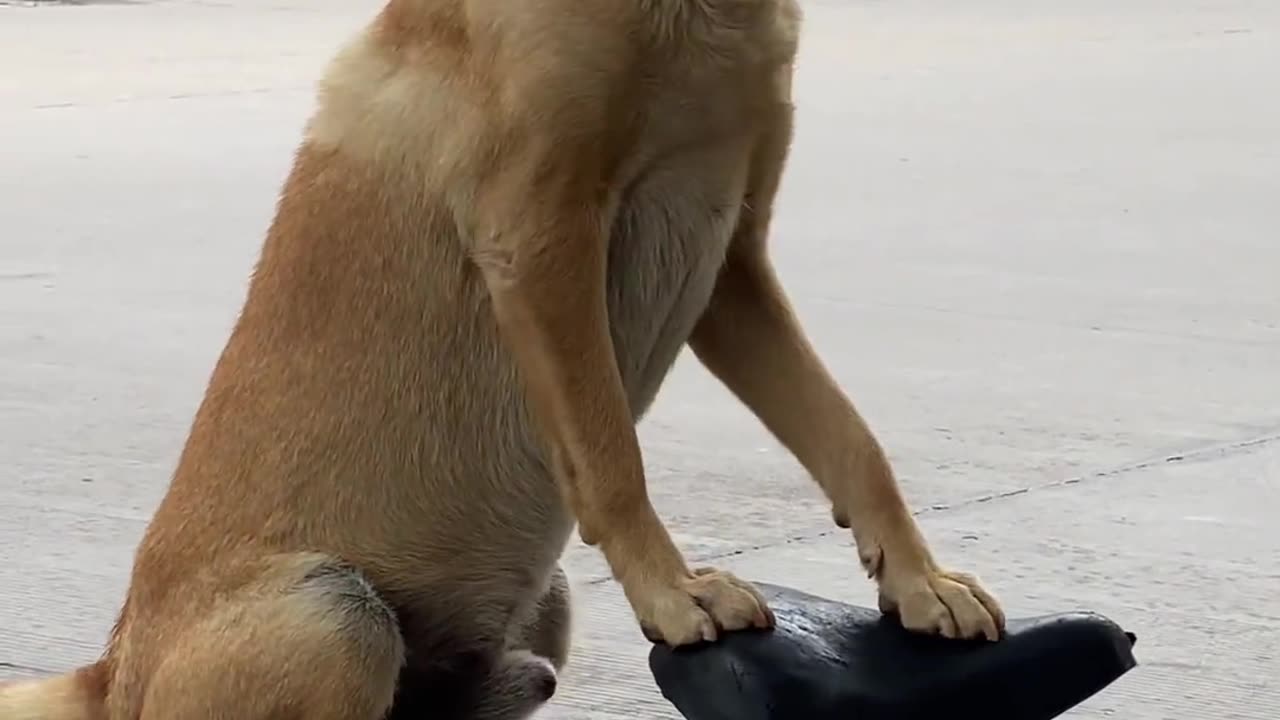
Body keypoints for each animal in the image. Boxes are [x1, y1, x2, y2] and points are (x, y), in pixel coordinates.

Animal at [2, 0, 998, 712]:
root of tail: (110, 672)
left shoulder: (733, 269)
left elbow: (849, 438)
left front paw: (918, 579)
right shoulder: (541, 238)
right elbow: (611, 457)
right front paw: (675, 591)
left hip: (533, 623)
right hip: (334, 617)